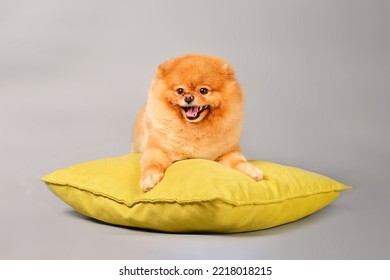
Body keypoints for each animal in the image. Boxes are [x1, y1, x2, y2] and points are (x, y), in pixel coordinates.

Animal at [133, 53, 264, 191]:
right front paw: (149, 179)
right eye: (180, 90)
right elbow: (151, 164)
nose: (188, 97)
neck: (194, 129)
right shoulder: (156, 149)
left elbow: (240, 161)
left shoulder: (228, 152)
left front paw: (253, 171)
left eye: (203, 91)